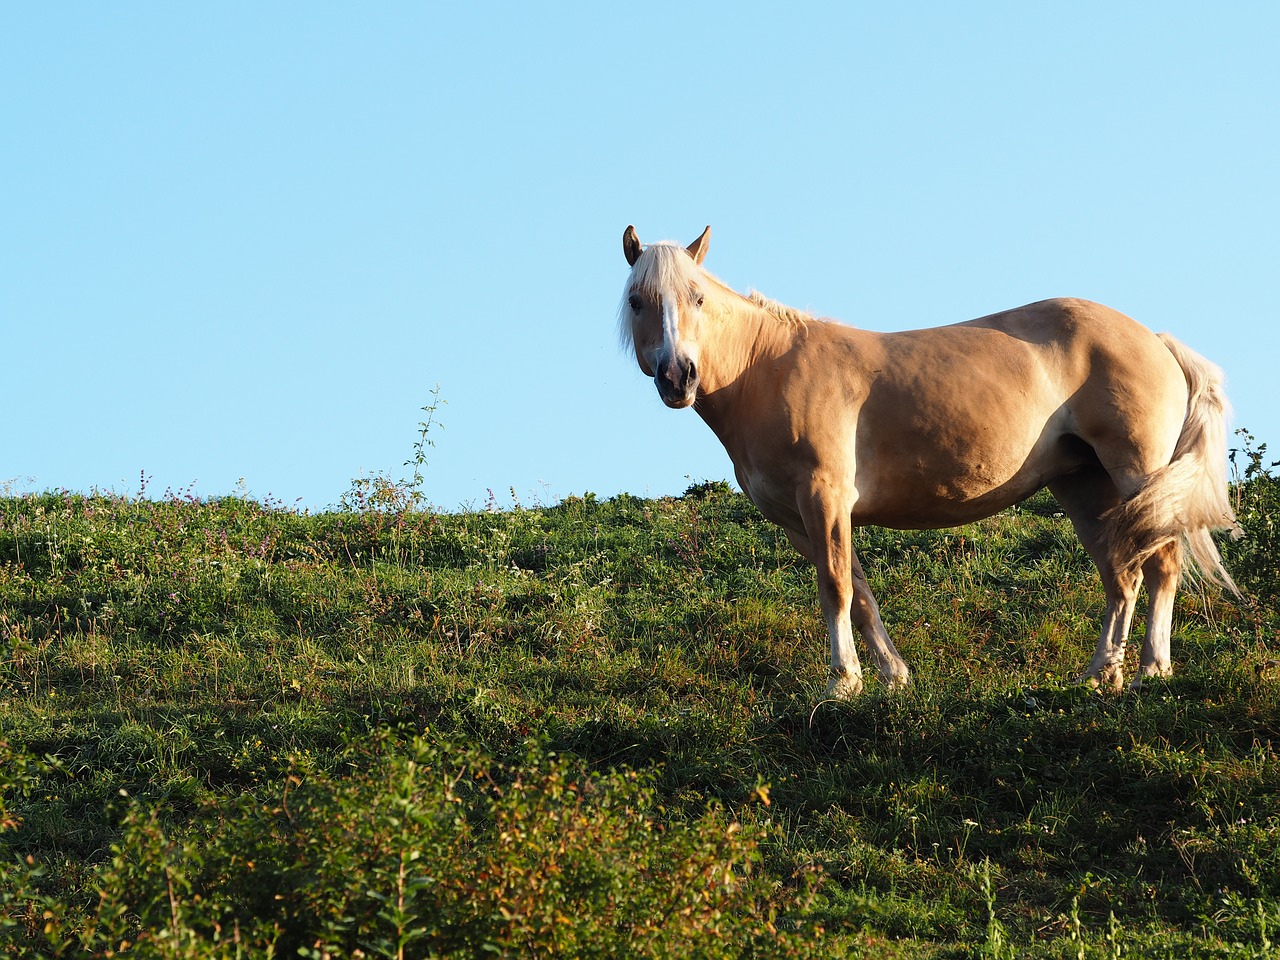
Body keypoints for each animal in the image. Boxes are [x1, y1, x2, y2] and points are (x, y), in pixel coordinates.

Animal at [619, 225, 1239, 701]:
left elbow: (835, 587)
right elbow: (859, 594)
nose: (678, 376)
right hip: (1084, 488)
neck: (766, 369)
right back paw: (1100, 674)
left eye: (697, 297)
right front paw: (892, 677)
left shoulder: (824, 498)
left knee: (1161, 567)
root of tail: (1154, 338)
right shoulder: (801, 520)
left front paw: (842, 683)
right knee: (1122, 575)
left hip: (1136, 474)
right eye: (636, 301)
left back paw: (1149, 671)